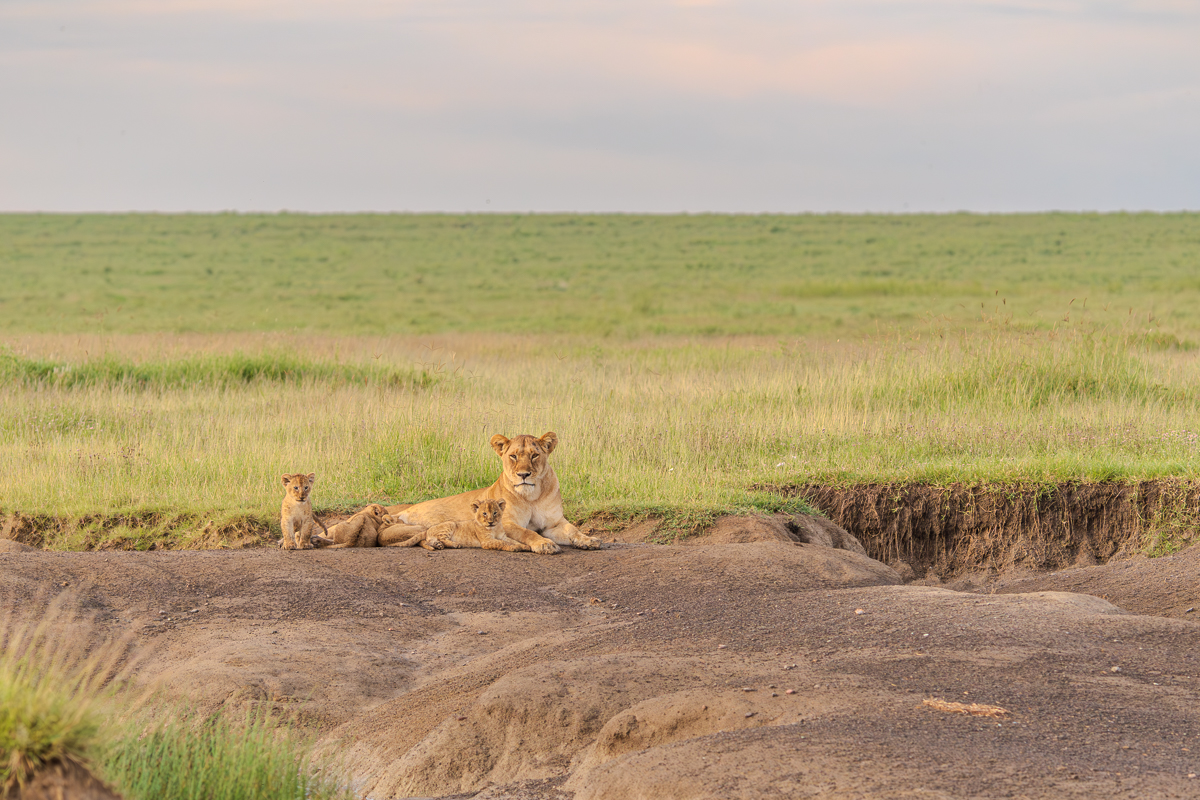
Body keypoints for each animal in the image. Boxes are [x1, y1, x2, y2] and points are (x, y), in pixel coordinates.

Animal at [381, 431, 601, 554]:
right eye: (513, 456)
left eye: (534, 455)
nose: (523, 475)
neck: (532, 496)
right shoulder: (508, 523)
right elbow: (528, 532)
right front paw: (545, 544)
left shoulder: (553, 523)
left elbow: (572, 529)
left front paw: (589, 540)